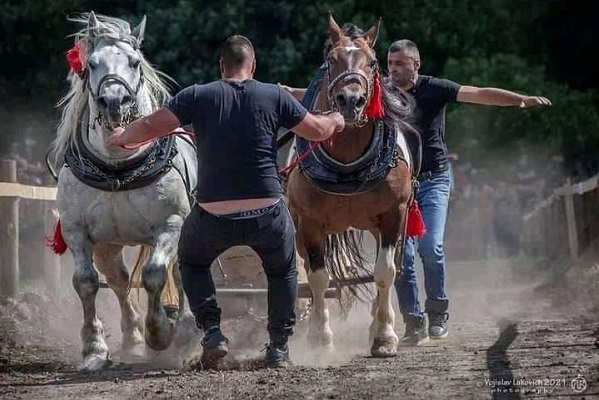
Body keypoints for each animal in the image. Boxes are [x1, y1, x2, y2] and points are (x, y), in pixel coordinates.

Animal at [49, 12, 198, 372]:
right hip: (108, 244)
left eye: (134, 62)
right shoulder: (76, 229)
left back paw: (184, 329)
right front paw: (94, 348)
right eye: (91, 63)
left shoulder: (171, 224)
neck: (118, 167)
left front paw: (159, 332)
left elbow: (155, 274)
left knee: (180, 274)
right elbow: (86, 282)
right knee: (118, 280)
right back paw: (132, 339)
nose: (114, 101)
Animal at [288, 15, 422, 358]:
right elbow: (319, 278)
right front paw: (321, 337)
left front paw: (385, 335)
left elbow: (385, 272)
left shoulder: (393, 215)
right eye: (331, 60)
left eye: (373, 62)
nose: (350, 100)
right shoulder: (309, 223)